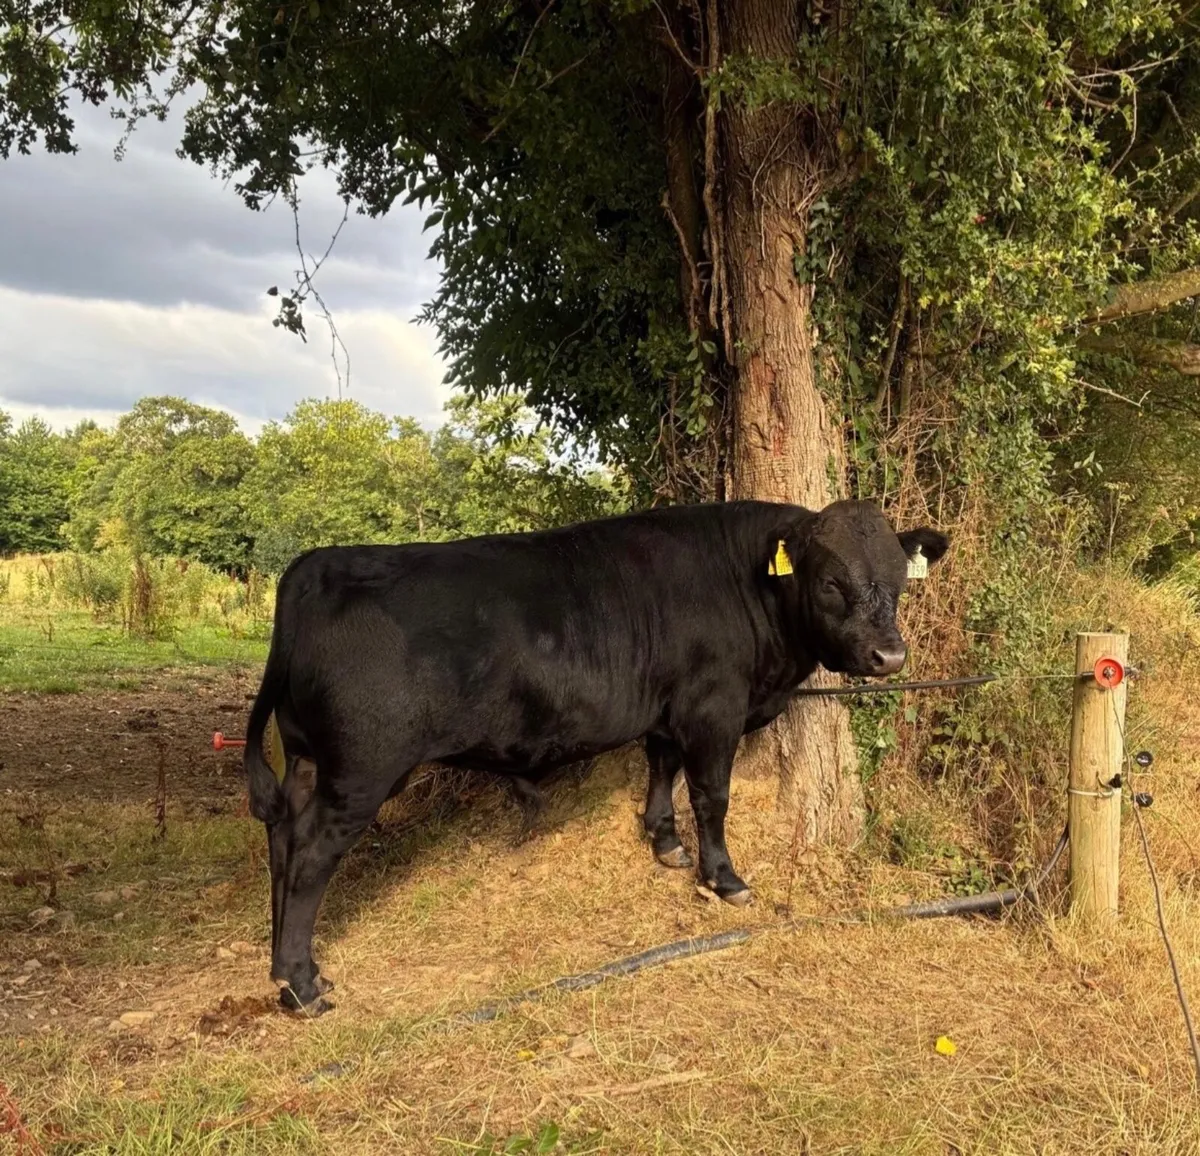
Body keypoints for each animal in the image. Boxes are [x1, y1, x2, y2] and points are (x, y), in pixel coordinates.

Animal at [243, 499, 948, 1012]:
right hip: (361, 771)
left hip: (305, 760)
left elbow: (661, 769)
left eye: (897, 581)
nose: (890, 656)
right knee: (310, 855)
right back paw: (303, 984)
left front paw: (665, 843)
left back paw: (284, 963)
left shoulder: (666, 711)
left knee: (282, 840)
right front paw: (723, 877)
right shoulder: (712, 708)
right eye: (831, 582)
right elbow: (711, 796)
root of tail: (314, 566)